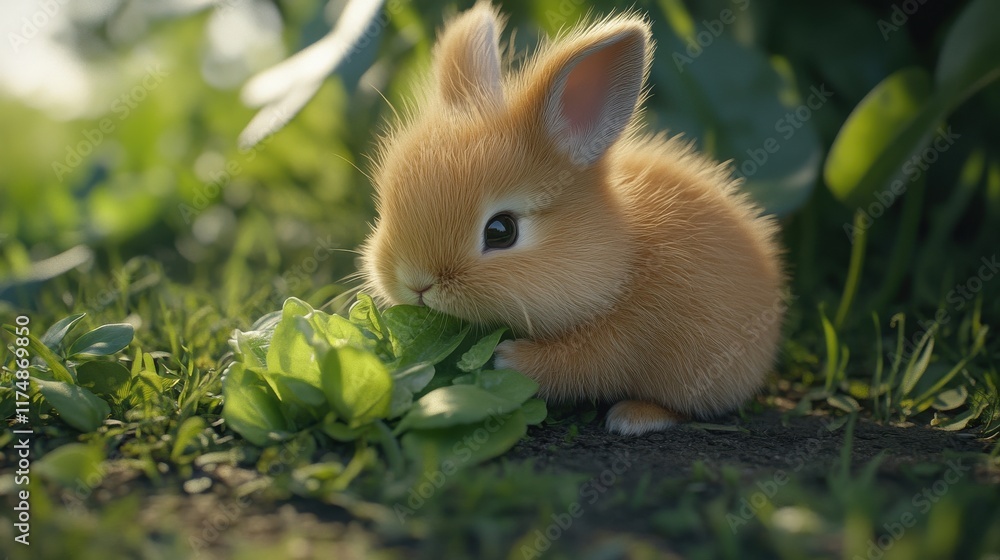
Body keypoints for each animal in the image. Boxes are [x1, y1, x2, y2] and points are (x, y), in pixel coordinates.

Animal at [360, 2, 785, 435]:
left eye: (501, 231)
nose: (416, 284)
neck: (624, 261)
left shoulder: (617, 340)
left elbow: (578, 366)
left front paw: (508, 358)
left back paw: (633, 417)